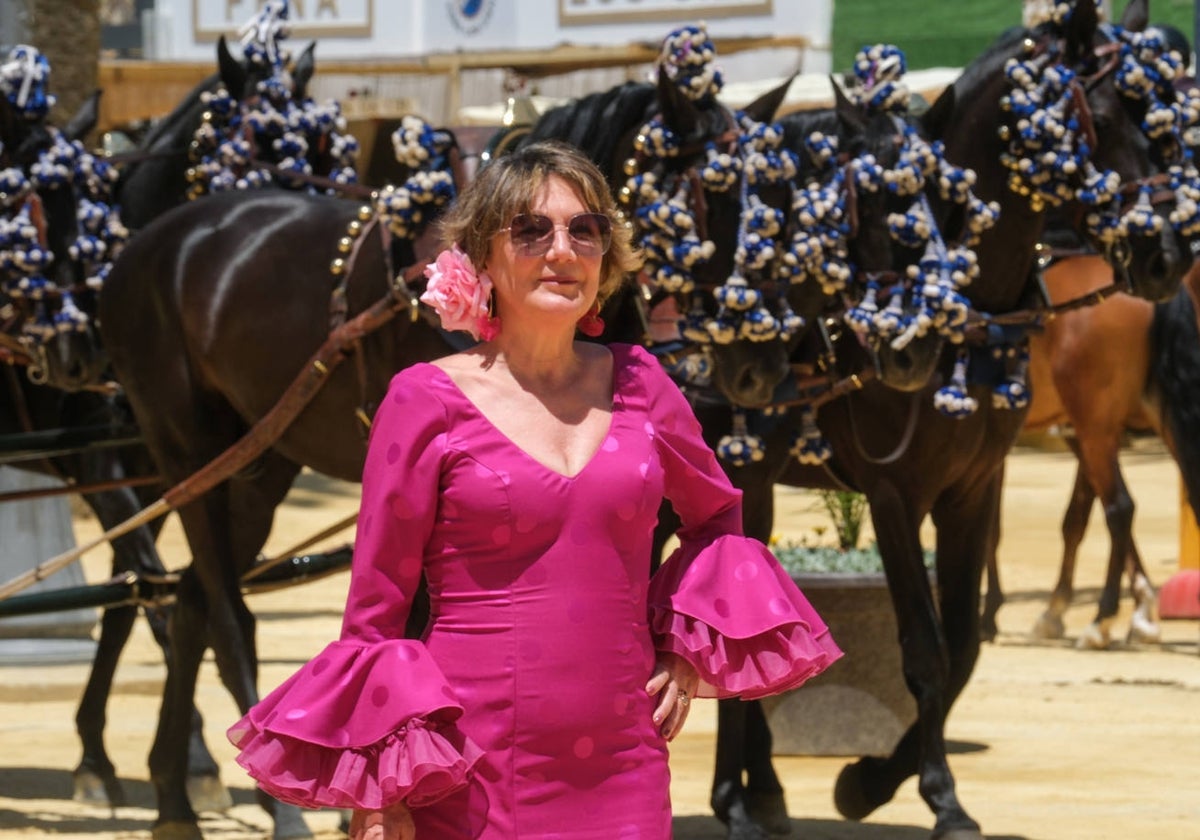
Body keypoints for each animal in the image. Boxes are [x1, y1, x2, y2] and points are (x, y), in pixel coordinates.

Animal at [979, 259, 1200, 648]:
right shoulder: (1081, 433)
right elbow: (1075, 519)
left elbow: (993, 526)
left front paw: (989, 614)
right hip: (1155, 420)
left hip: (1105, 427)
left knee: (1120, 508)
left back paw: (1100, 620)